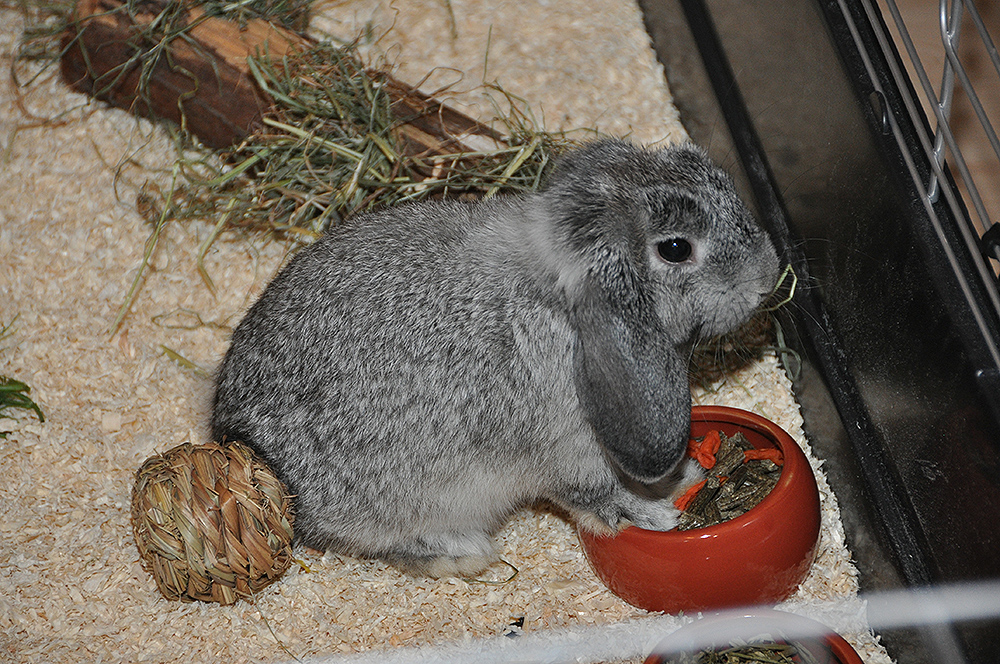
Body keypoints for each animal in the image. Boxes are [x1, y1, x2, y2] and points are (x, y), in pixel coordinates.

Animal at [213, 139, 780, 576]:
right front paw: (655, 515)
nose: (768, 276)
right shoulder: (568, 451)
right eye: (676, 248)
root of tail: (245, 447)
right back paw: (462, 555)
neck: (558, 310)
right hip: (395, 503)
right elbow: (596, 495)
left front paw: (687, 476)